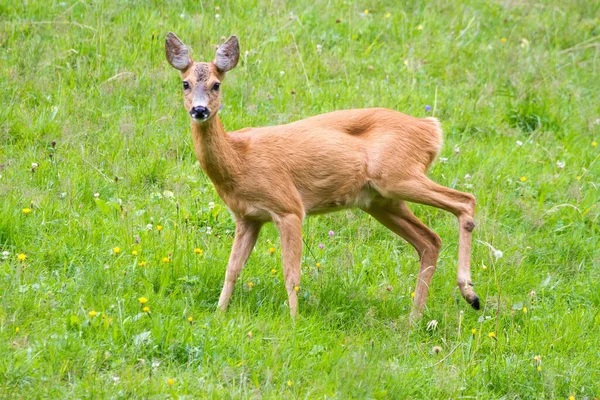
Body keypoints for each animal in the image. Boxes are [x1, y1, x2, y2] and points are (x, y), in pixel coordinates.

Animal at [163, 32, 478, 318]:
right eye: (185, 83)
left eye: (216, 85)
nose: (199, 110)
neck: (239, 159)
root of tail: (430, 129)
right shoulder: (247, 217)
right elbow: (232, 269)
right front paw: (219, 314)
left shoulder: (288, 207)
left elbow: (291, 273)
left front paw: (293, 321)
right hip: (380, 200)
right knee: (430, 240)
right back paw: (414, 319)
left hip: (397, 175)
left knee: (465, 200)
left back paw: (470, 294)